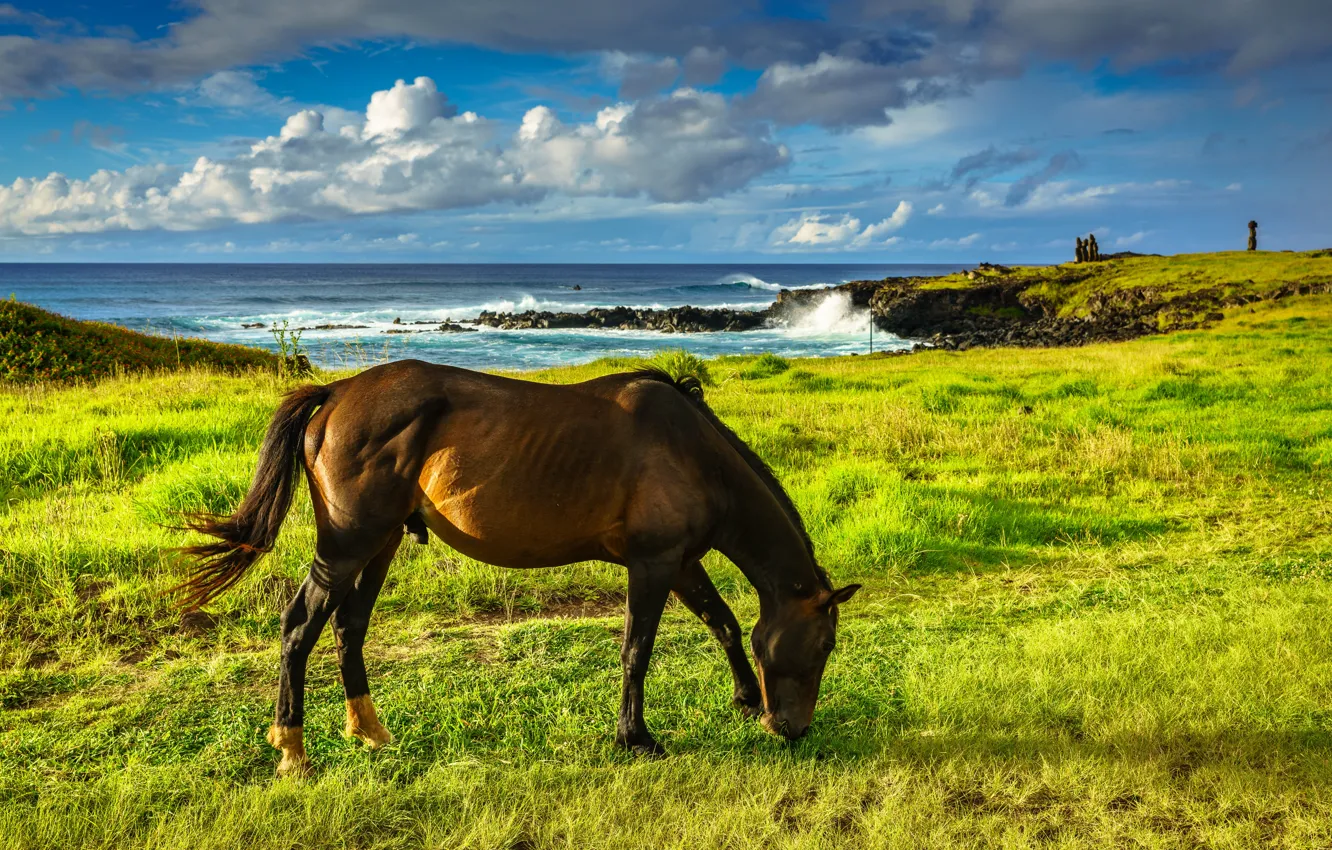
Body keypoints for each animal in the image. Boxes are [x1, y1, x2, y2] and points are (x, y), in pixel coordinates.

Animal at [177, 360, 860, 777]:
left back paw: (369, 730)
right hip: (348, 545)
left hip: (380, 544)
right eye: (825, 645)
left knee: (349, 629)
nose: (793, 729)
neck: (693, 451)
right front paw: (635, 736)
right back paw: (292, 751)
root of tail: (335, 394)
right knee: (299, 627)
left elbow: (723, 622)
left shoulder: (682, 560)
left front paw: (743, 698)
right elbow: (637, 650)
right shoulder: (654, 564)